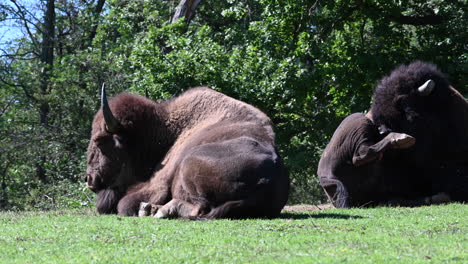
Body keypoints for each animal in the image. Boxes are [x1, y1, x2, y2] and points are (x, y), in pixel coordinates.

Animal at [85, 85, 288, 218]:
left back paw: (154, 210)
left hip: (188, 164)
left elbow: (124, 203)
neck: (167, 130)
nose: (89, 179)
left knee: (198, 208)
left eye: (99, 140)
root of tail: (269, 178)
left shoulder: (157, 184)